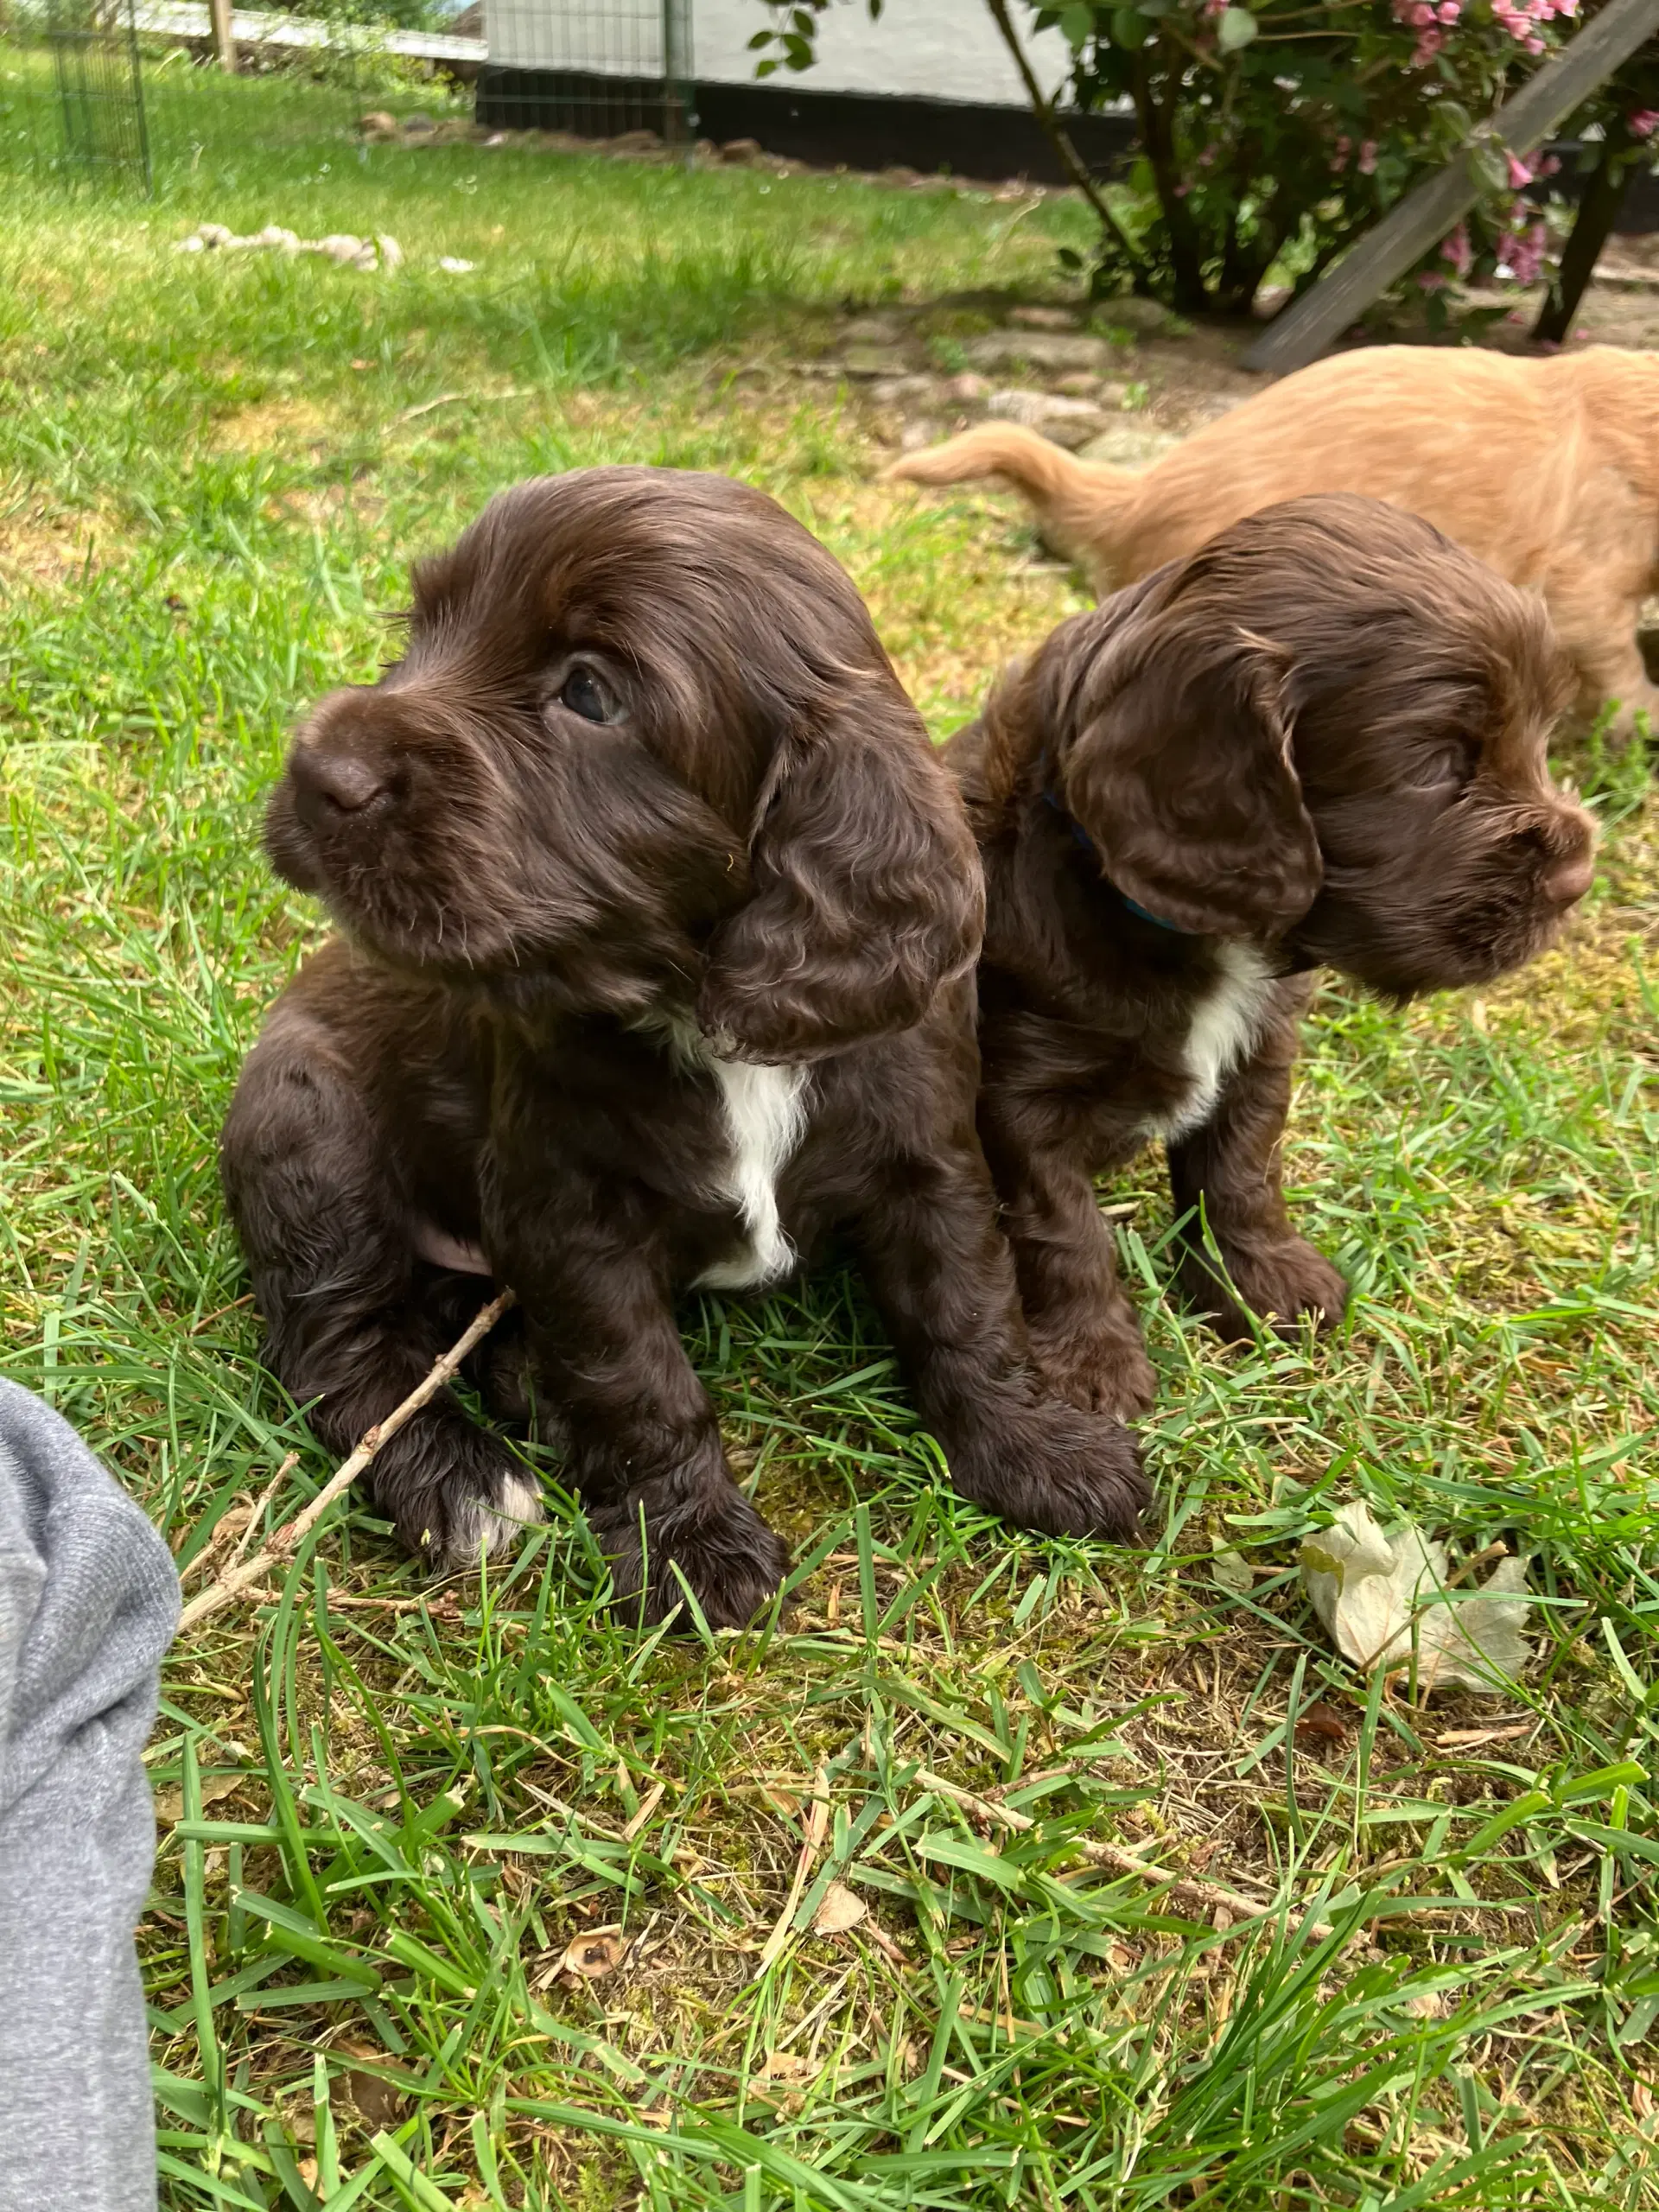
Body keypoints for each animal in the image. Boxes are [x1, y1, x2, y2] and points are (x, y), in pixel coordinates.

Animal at [221, 467, 1150, 1628]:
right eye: (421, 628)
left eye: (590, 693)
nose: (318, 768)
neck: (694, 1008)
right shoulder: (571, 1213)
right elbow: (639, 1381)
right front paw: (693, 1548)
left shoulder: (931, 1153)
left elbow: (969, 1309)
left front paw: (1039, 1452)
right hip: (313, 1144)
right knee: (337, 1349)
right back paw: (464, 1485)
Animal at [955, 495, 1601, 1415]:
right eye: (1433, 762)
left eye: (1542, 733)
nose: (1579, 878)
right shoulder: (1019, 1091)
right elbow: (1060, 1227)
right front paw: (1089, 1366)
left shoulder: (1261, 1052)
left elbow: (1242, 1170)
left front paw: (1264, 1285)